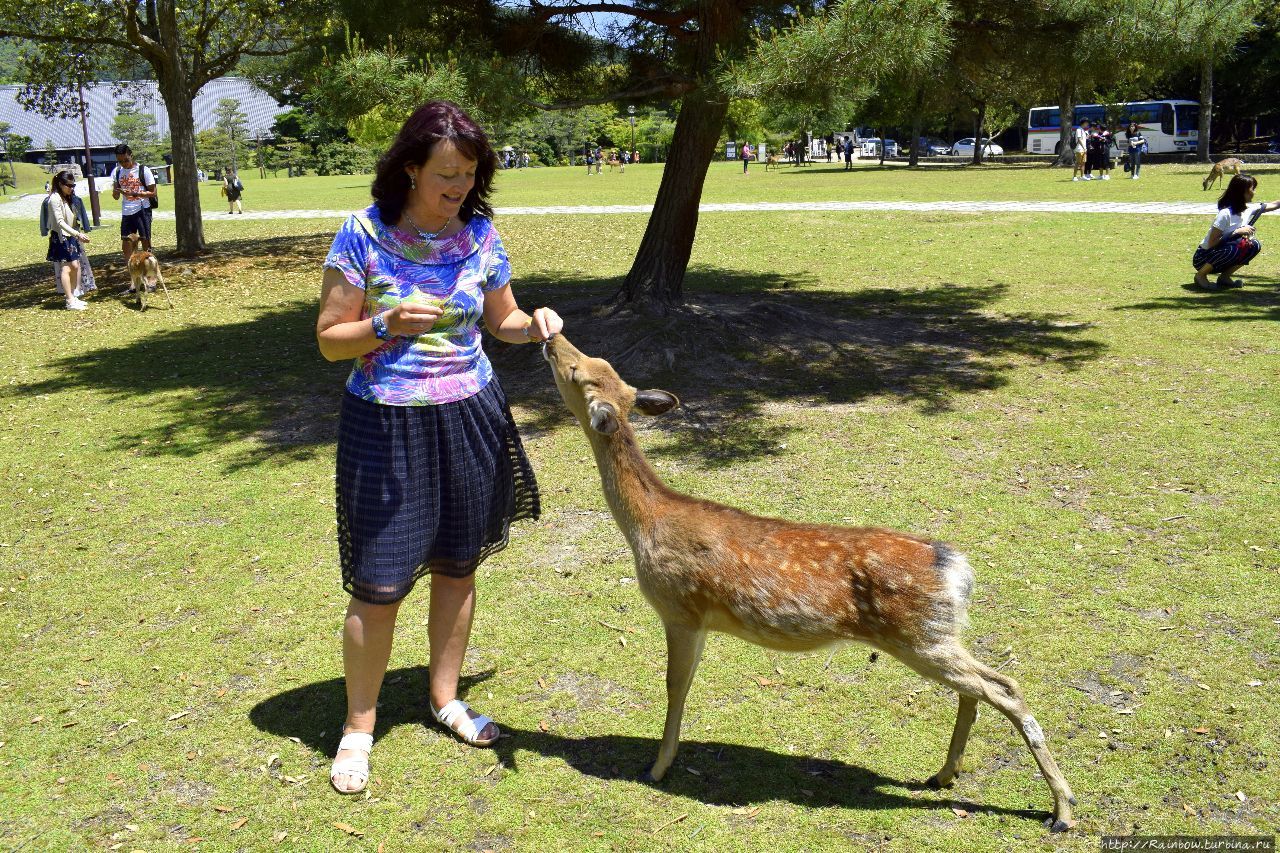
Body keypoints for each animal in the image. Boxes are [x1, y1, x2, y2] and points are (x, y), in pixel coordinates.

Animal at [540, 333, 1080, 829]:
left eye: (578, 373)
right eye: (595, 362)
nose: (551, 340)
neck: (646, 525)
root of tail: (956, 569)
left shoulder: (680, 609)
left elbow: (676, 686)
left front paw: (657, 767)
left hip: (919, 635)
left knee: (1004, 686)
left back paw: (1062, 809)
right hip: (935, 636)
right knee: (981, 687)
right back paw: (945, 774)